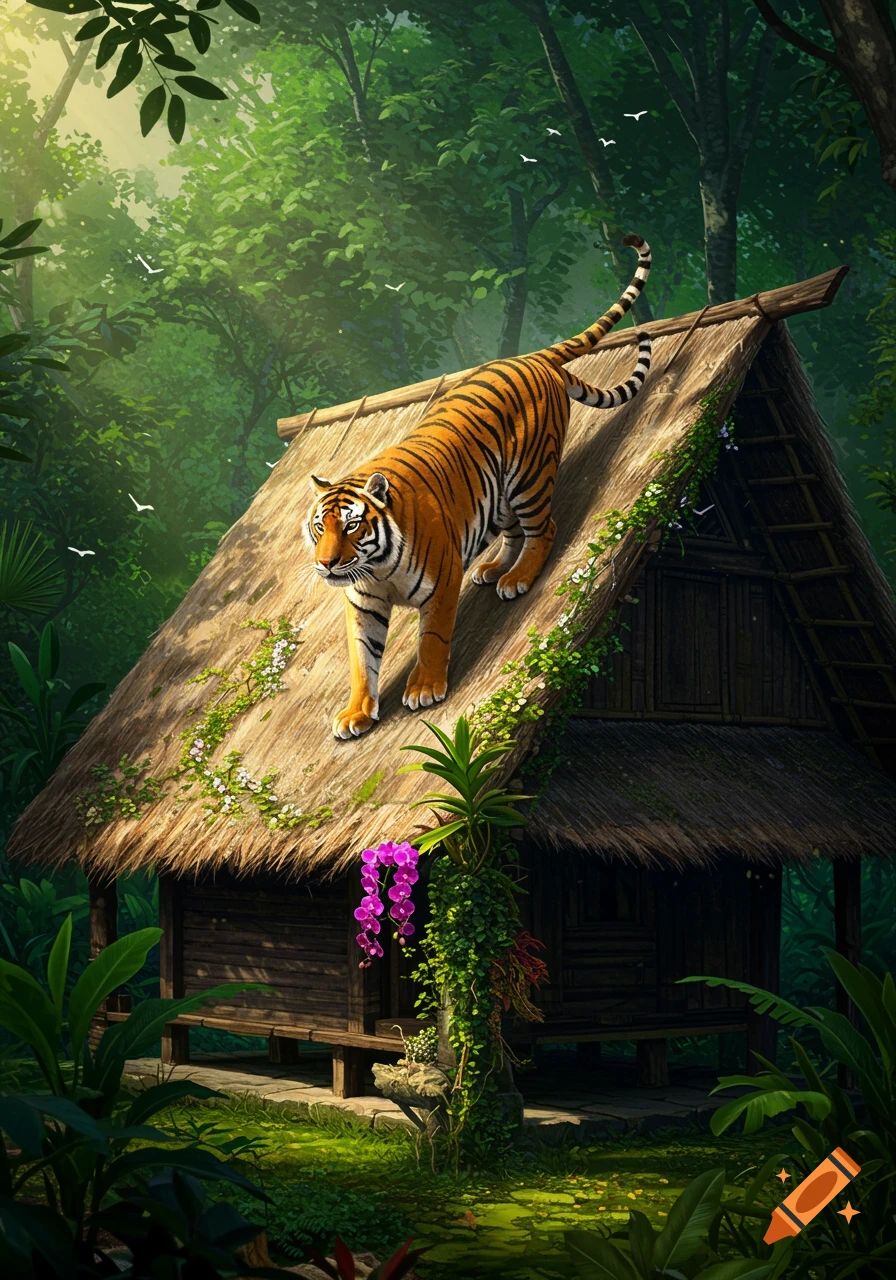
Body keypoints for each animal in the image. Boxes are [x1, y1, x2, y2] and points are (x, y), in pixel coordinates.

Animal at [306, 233, 652, 739]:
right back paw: (494, 569)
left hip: (528, 478)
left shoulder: (442, 579)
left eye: (351, 526)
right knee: (511, 531)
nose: (327, 564)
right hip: (497, 491)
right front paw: (356, 713)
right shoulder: (363, 604)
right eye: (319, 528)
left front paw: (425, 689)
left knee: (544, 529)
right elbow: (360, 661)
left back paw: (518, 579)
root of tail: (531, 355)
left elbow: (432, 636)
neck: (376, 568)